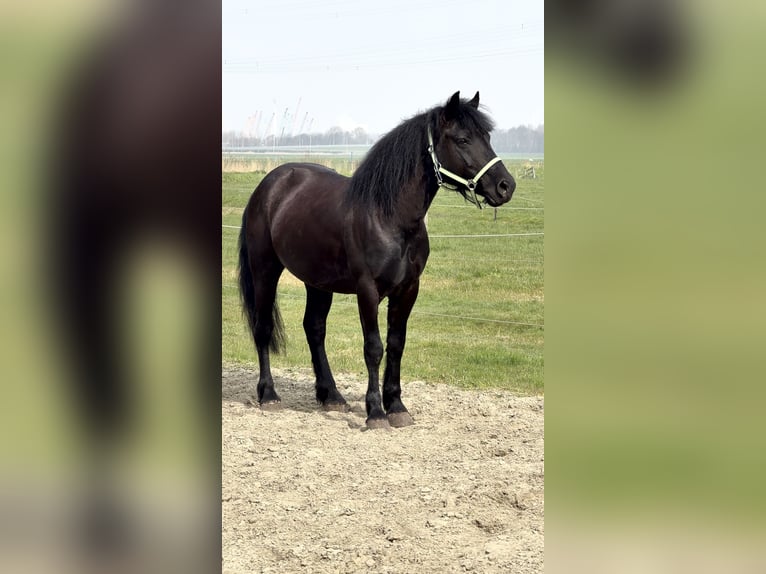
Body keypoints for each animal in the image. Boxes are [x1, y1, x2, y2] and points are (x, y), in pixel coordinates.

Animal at [238, 91, 515, 429]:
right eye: (463, 139)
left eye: (486, 136)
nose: (506, 186)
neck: (390, 217)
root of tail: (270, 184)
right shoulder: (367, 290)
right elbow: (374, 348)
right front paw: (375, 412)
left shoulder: (408, 289)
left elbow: (396, 345)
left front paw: (396, 406)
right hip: (265, 269)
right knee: (263, 326)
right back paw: (269, 395)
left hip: (317, 282)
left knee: (314, 329)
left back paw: (331, 396)